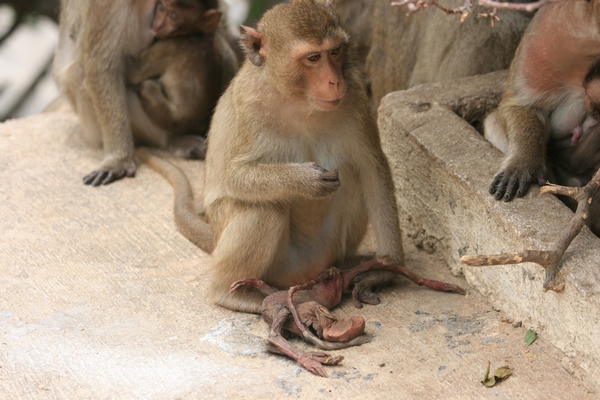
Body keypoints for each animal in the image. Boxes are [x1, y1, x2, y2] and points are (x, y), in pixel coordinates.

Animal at [138, 0, 406, 316]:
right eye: (313, 57)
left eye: (336, 51)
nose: (334, 81)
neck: (297, 98)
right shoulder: (249, 106)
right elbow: (232, 177)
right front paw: (304, 180)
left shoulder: (355, 95)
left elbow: (373, 169)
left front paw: (386, 269)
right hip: (277, 268)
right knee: (265, 207)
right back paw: (232, 295)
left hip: (327, 250)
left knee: (351, 176)